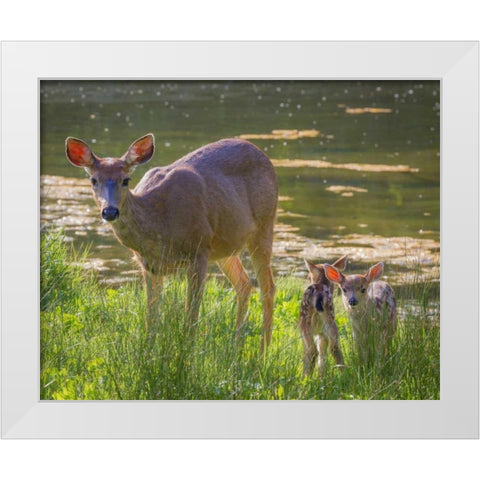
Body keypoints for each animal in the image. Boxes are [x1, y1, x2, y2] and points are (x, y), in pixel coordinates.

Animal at [65, 133, 280, 350]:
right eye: (94, 180)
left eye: (125, 180)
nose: (110, 211)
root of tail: (263, 155)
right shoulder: (149, 265)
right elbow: (151, 318)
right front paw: (149, 351)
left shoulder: (198, 249)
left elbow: (191, 316)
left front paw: (187, 354)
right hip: (225, 246)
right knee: (243, 284)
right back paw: (236, 348)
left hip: (264, 224)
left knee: (268, 287)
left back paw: (263, 351)